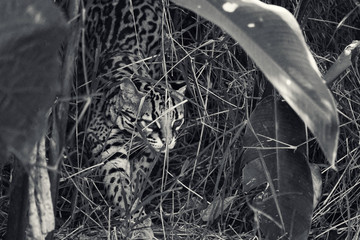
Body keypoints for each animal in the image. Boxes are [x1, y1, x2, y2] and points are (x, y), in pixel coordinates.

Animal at [80, 0, 187, 237]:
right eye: (152, 122)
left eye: (176, 122)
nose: (168, 142)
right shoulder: (108, 151)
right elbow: (122, 190)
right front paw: (138, 225)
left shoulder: (149, 151)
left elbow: (139, 177)